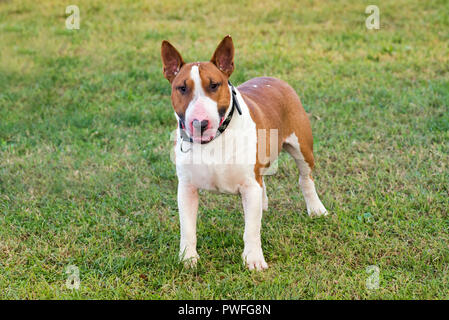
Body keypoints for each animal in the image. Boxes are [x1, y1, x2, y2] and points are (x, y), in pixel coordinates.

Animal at [160, 35, 326, 270]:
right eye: (181, 88)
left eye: (214, 85)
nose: (200, 123)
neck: (214, 139)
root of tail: (274, 79)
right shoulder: (186, 188)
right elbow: (188, 228)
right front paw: (188, 258)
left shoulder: (249, 185)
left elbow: (252, 229)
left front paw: (254, 259)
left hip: (302, 147)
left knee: (305, 178)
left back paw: (316, 209)